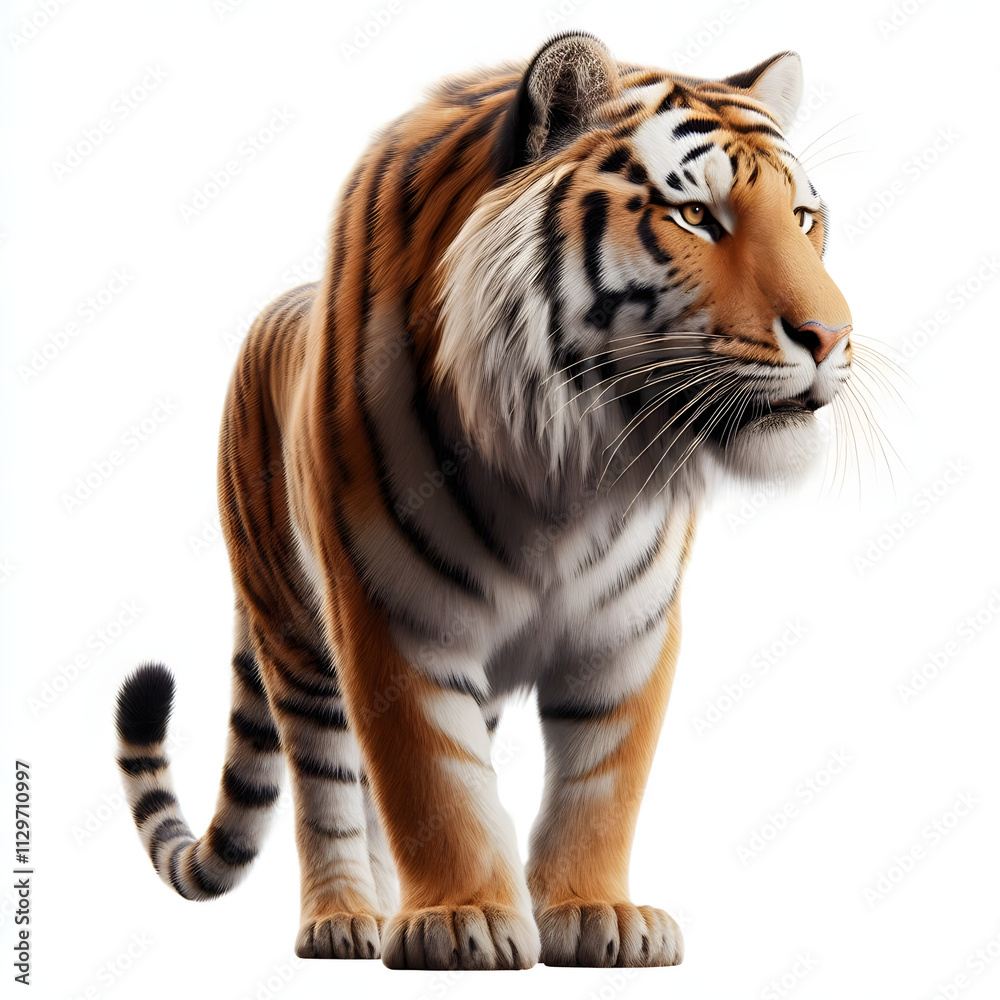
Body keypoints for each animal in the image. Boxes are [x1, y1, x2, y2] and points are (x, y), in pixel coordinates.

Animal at [114, 32, 854, 970]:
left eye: (804, 219)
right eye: (694, 216)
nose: (833, 338)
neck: (574, 465)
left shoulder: (631, 631)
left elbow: (602, 783)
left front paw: (598, 912)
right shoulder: (392, 618)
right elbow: (433, 783)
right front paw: (461, 919)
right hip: (293, 636)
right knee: (328, 782)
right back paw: (346, 918)